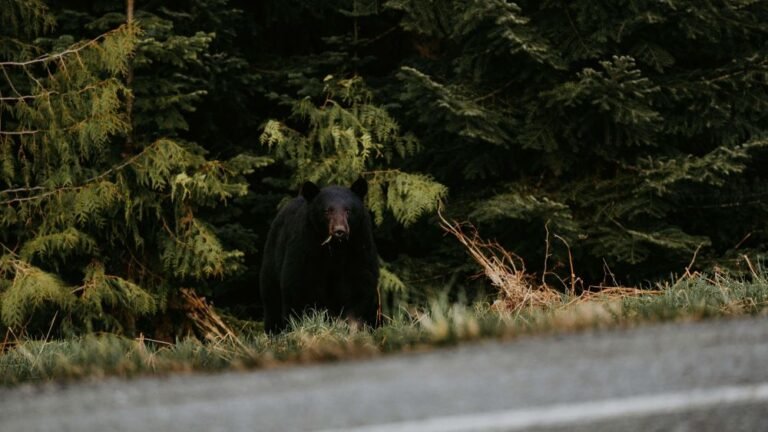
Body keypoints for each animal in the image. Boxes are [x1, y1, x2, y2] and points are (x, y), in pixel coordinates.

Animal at [259, 177, 380, 334]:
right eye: (327, 211)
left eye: (348, 210)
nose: (339, 231)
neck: (336, 248)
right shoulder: (306, 247)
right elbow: (299, 285)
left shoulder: (359, 245)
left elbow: (360, 283)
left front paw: (354, 328)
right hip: (272, 261)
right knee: (272, 301)